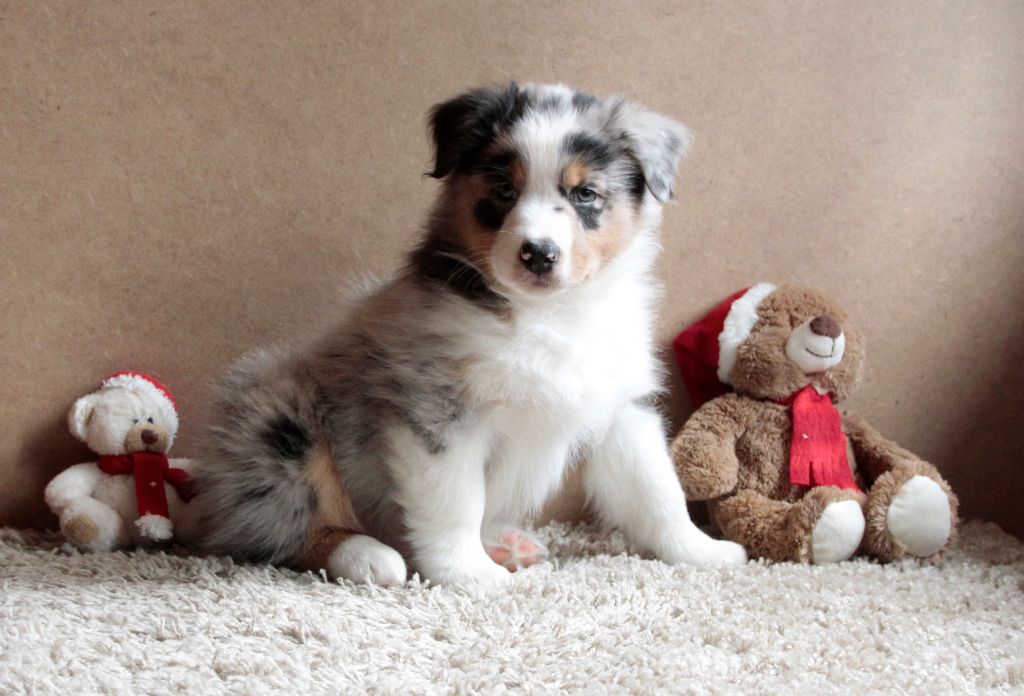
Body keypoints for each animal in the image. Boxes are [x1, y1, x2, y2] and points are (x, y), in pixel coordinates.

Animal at [192, 83, 747, 587]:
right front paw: (468, 576)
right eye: (504, 191)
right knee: (285, 527)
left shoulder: (620, 408)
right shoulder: (439, 412)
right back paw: (367, 557)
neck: (548, 315)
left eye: (585, 194)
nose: (538, 253)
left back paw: (505, 544)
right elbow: (454, 502)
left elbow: (659, 491)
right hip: (279, 416)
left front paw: (704, 553)